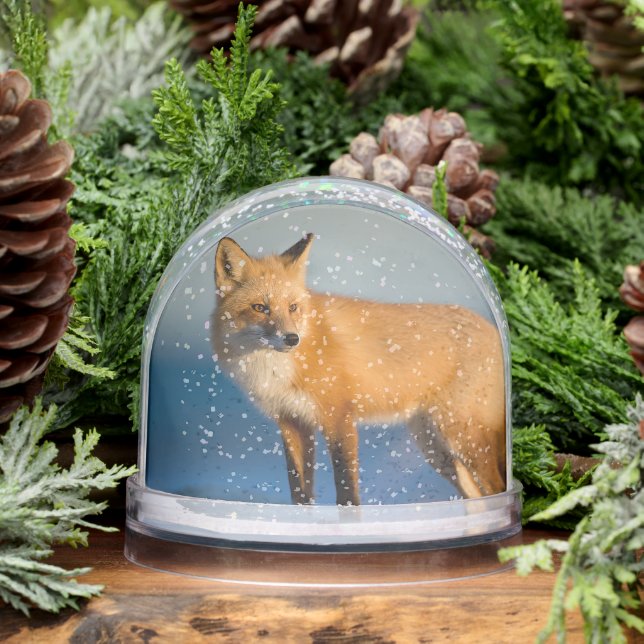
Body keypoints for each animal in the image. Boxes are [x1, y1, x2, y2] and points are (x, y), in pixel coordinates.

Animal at [212, 233, 506, 506]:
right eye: (260, 308)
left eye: (293, 307)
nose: (291, 339)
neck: (278, 370)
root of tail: (497, 331)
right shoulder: (293, 423)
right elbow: (300, 493)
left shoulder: (340, 419)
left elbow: (347, 493)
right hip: (436, 449)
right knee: (476, 498)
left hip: (463, 437)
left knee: (497, 488)